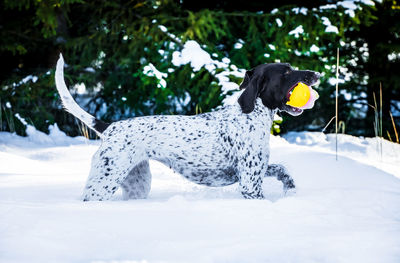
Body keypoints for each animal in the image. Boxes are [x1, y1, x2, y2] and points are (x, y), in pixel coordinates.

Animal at [54, 54, 320, 201]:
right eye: (287, 72)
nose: (316, 73)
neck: (250, 115)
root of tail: (110, 128)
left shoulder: (256, 171)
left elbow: (282, 169)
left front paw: (290, 187)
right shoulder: (249, 185)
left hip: (137, 183)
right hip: (103, 183)